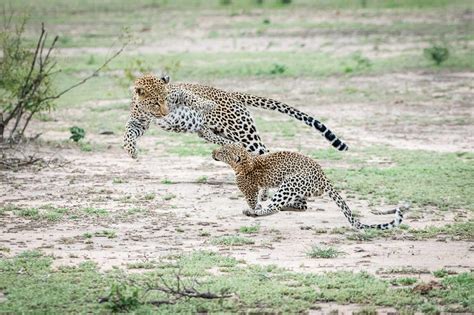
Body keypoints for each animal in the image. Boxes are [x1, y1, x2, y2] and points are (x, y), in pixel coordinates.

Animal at [124, 74, 350, 160]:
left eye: (163, 99)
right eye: (155, 102)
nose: (165, 113)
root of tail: (233, 95)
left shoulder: (177, 92)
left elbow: (191, 96)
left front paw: (207, 104)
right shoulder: (140, 122)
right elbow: (128, 133)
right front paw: (132, 151)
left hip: (244, 133)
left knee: (264, 152)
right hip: (222, 134)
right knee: (226, 142)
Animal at [213, 143, 410, 230]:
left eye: (222, 151)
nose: (213, 152)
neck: (245, 162)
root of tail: (323, 177)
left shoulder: (249, 190)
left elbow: (252, 199)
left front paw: (254, 207)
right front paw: (263, 198)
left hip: (290, 183)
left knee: (275, 207)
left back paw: (256, 212)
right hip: (295, 188)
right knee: (301, 206)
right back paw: (285, 206)